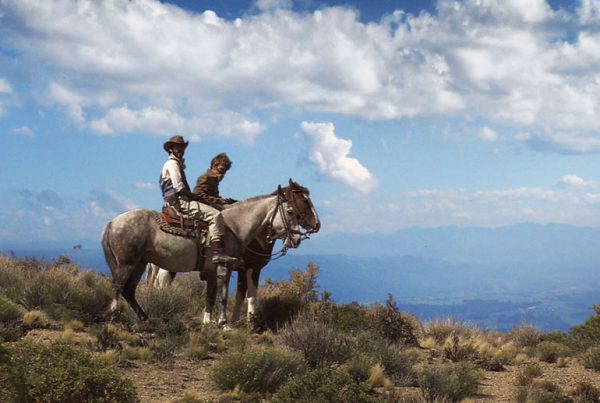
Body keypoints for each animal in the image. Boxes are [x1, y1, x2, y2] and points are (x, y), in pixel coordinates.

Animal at [101, 185, 308, 326]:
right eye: (290, 211)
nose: (297, 239)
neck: (233, 226)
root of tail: (112, 223)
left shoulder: (212, 271)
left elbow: (210, 296)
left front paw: (208, 322)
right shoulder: (225, 267)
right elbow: (223, 295)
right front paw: (223, 323)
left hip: (140, 264)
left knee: (129, 290)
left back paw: (143, 317)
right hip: (127, 264)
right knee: (118, 286)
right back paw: (113, 316)